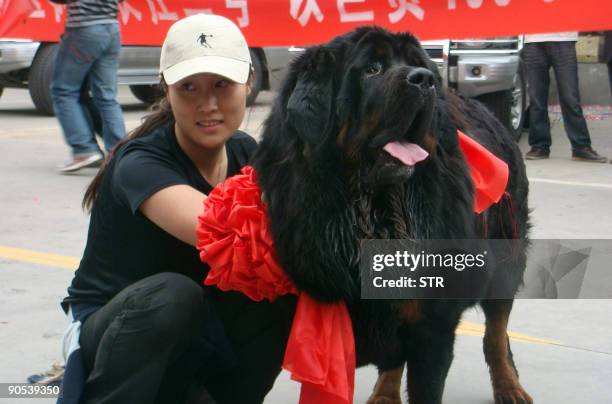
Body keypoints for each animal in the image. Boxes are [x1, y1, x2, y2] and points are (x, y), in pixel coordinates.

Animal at [251, 27, 532, 404]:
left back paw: (509, 386)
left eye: (417, 64)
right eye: (372, 69)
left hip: (506, 257)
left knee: (496, 332)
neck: (372, 212)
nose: (425, 79)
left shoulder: (433, 327)